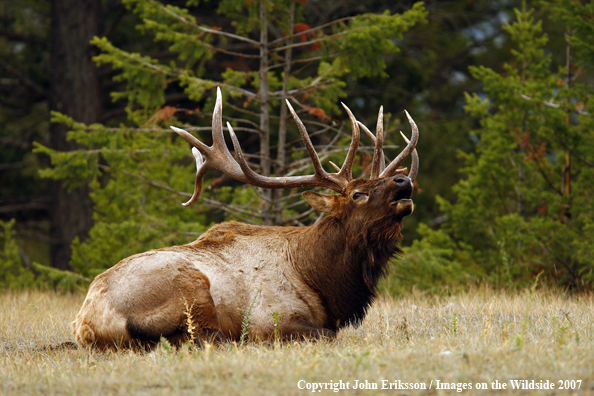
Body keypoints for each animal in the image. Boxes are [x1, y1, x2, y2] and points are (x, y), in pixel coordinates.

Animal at [71, 87, 418, 350]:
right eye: (358, 194)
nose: (404, 181)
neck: (321, 279)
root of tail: (85, 323)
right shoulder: (270, 319)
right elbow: (328, 334)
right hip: (188, 287)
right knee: (204, 338)